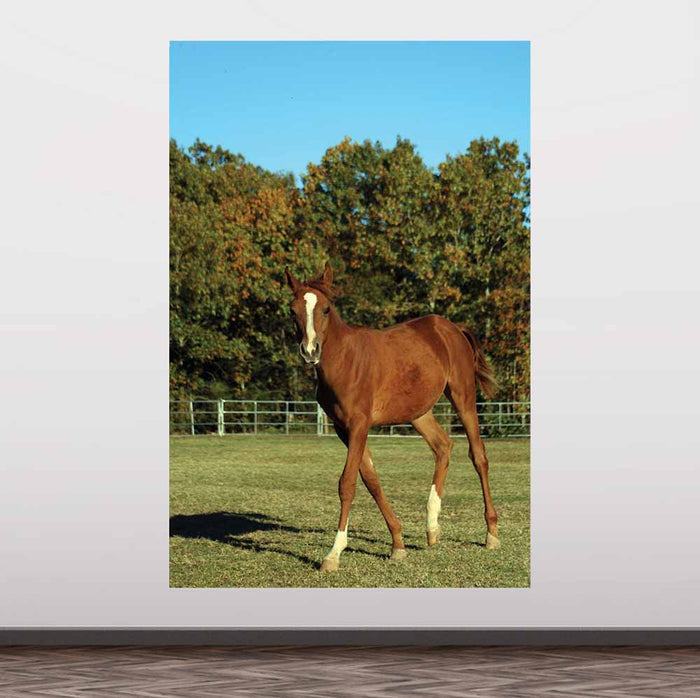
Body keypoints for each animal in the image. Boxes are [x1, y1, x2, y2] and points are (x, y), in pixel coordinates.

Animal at [284, 262, 500, 572]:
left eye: (325, 309)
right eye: (292, 310)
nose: (310, 351)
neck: (345, 360)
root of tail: (453, 329)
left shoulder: (359, 425)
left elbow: (347, 483)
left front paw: (334, 553)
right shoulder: (342, 429)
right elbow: (371, 480)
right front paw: (398, 544)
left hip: (463, 398)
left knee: (479, 456)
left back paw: (491, 533)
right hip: (418, 412)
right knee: (443, 446)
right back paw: (432, 528)